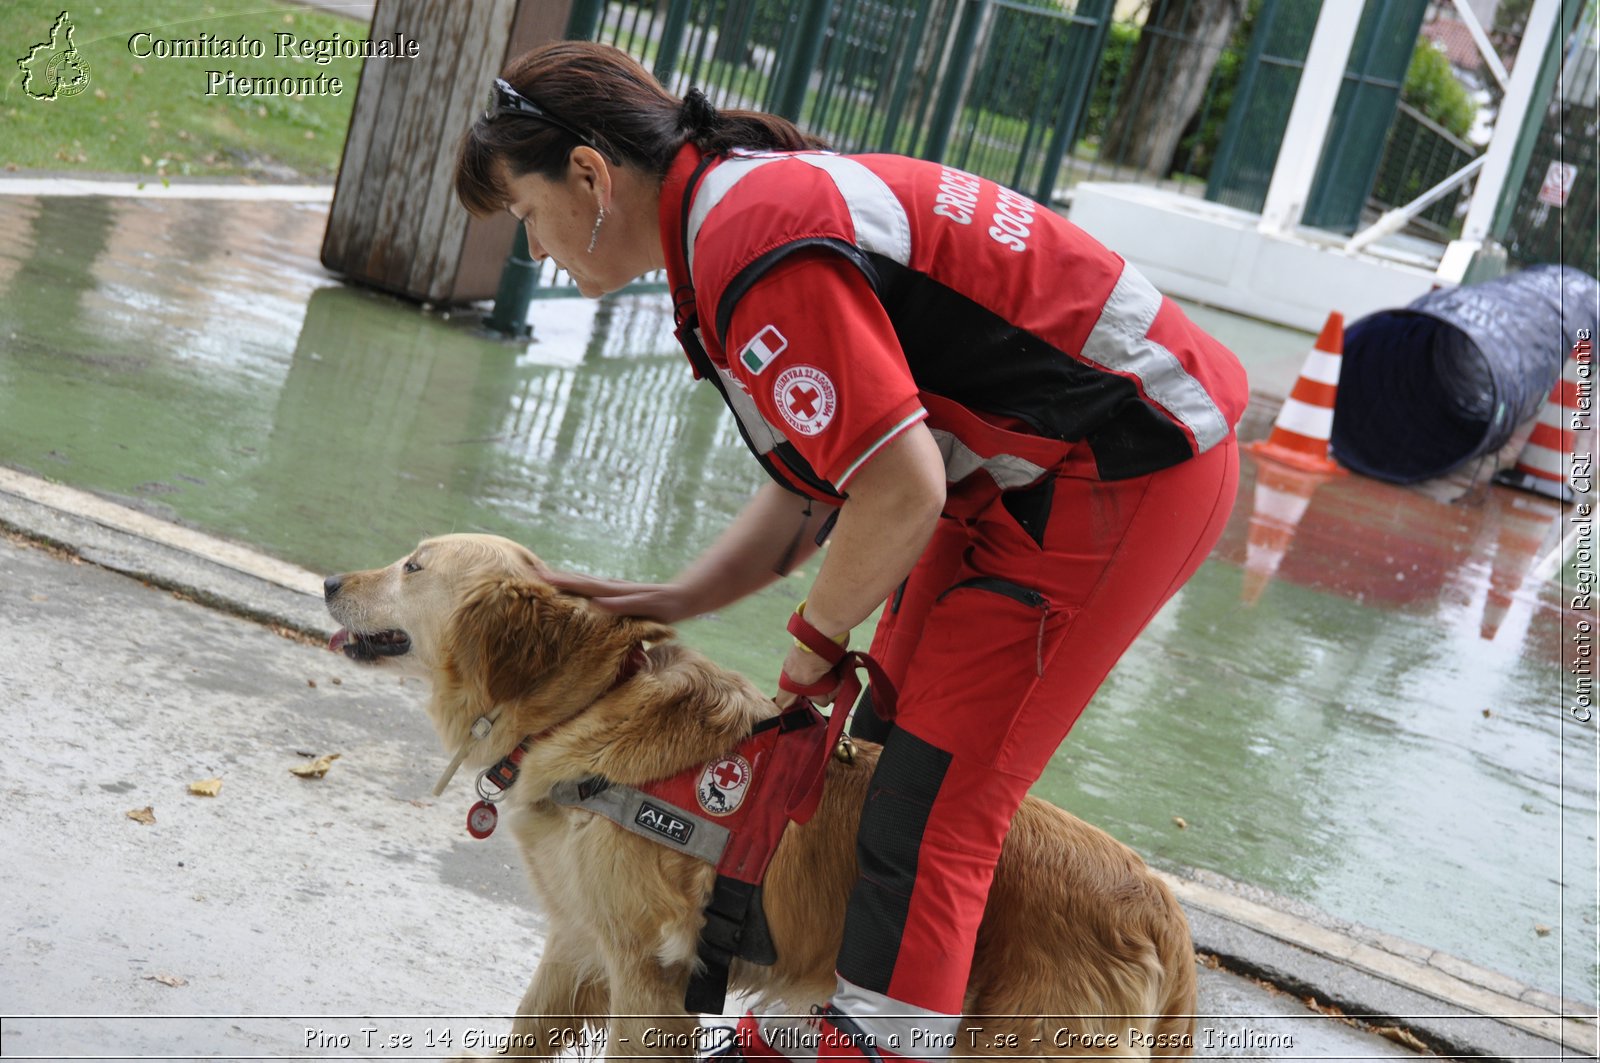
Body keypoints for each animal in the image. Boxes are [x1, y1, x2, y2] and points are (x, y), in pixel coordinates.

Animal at [324, 534, 1196, 1056]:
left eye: (413, 565)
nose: (331, 577)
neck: (588, 703)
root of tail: (1158, 897)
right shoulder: (576, 938)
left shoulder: (649, 972)